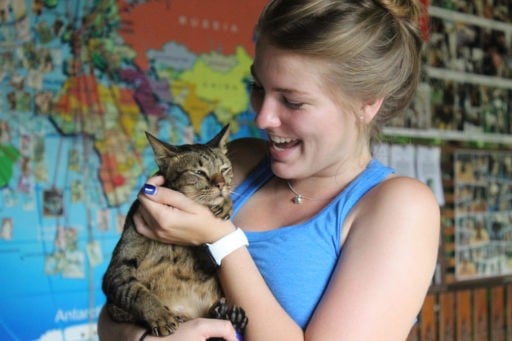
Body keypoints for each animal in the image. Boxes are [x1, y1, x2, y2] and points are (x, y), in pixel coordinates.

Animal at [101, 123, 247, 336]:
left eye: (225, 169)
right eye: (199, 172)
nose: (221, 184)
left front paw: (226, 203)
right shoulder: (117, 270)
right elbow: (137, 292)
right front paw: (160, 315)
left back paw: (229, 315)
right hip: (113, 306)